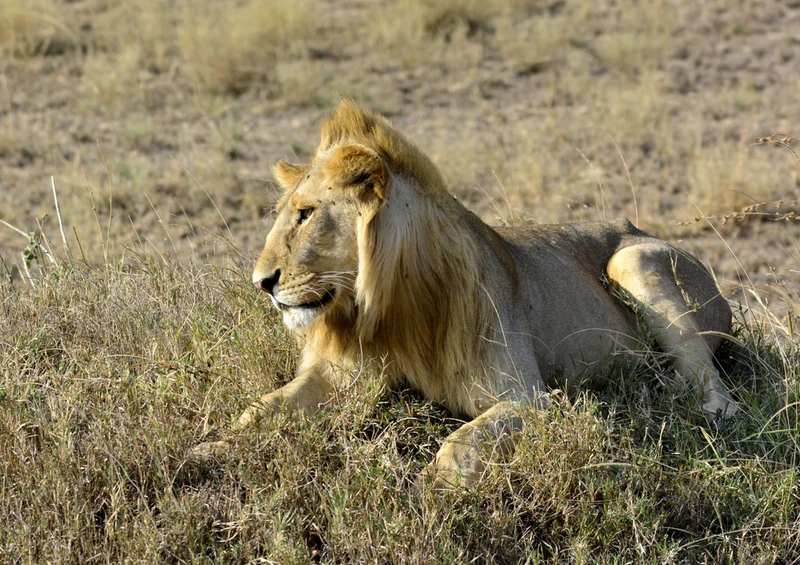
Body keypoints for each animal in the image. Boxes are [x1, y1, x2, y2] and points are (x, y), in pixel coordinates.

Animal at [230, 99, 738, 486]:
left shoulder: (529, 397)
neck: (392, 306)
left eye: (306, 214)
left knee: (714, 386)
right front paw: (218, 448)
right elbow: (260, 409)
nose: (260, 282)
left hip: (633, 260)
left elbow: (458, 445)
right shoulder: (345, 374)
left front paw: (431, 494)